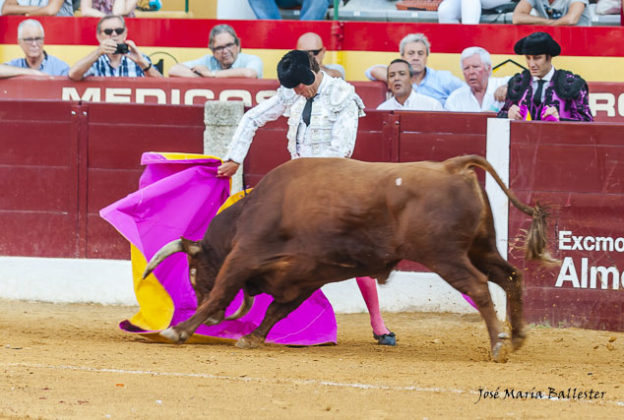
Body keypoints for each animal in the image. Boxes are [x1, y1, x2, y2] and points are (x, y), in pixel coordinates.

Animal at [145, 156, 556, 362]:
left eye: (193, 272)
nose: (215, 321)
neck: (253, 211)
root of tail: (452, 166)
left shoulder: (245, 255)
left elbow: (225, 290)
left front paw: (176, 330)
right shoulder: (307, 275)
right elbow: (278, 309)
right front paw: (252, 338)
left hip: (446, 256)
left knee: (479, 287)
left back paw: (499, 346)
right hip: (481, 247)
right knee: (511, 277)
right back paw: (517, 336)